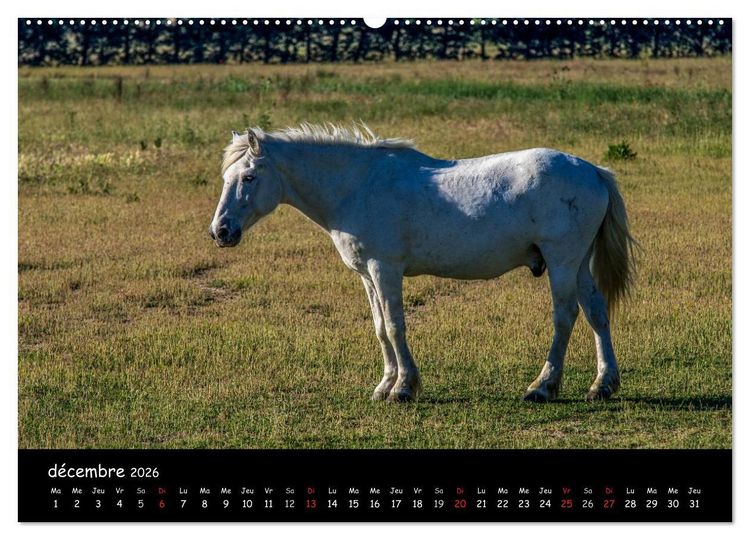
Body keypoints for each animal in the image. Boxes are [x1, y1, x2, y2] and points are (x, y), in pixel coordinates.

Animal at [209, 123, 638, 403]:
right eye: (227, 176)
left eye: (248, 177)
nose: (220, 231)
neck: (358, 186)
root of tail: (593, 171)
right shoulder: (368, 275)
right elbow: (380, 327)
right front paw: (385, 385)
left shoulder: (385, 269)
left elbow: (396, 326)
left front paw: (403, 388)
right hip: (578, 264)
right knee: (596, 312)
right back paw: (603, 385)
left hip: (562, 261)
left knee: (565, 317)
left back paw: (543, 386)